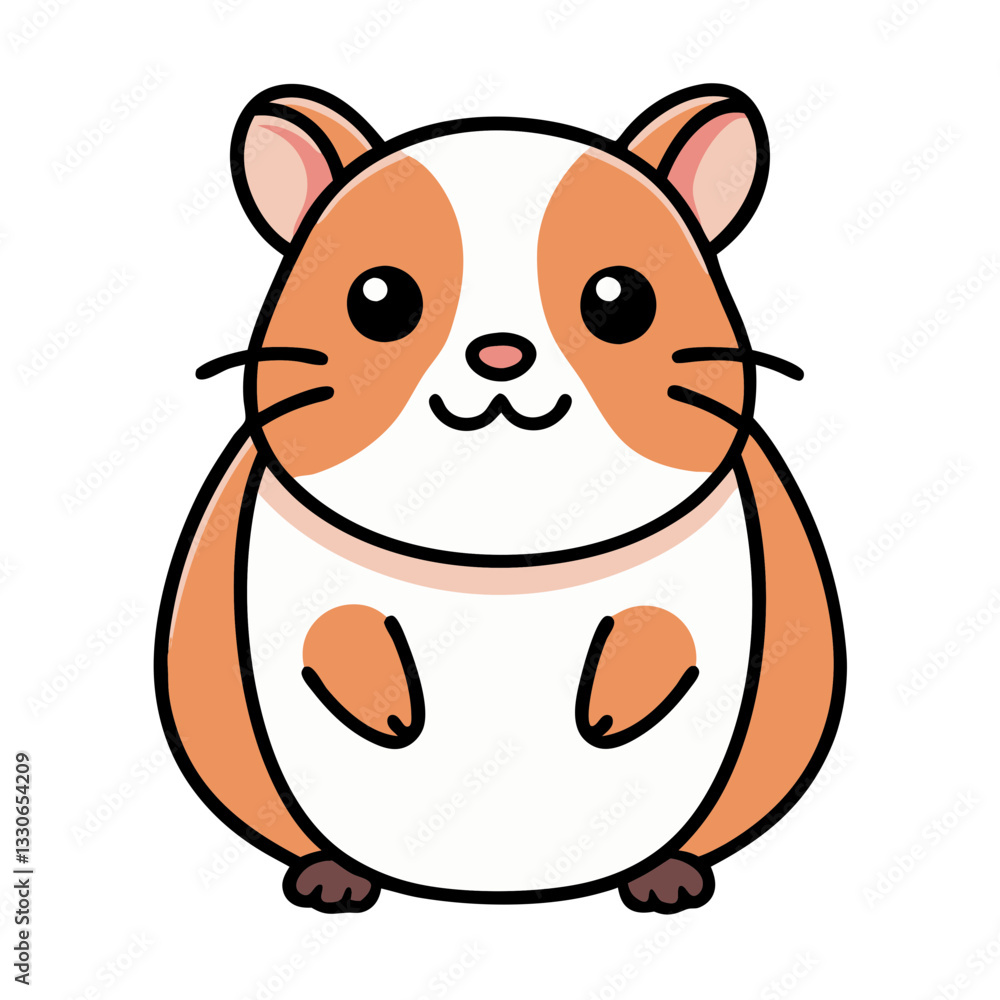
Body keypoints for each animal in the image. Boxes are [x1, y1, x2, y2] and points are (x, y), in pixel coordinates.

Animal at [155, 83, 845, 915]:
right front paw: (387, 705)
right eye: (377, 299)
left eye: (621, 298)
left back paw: (665, 877)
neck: (504, 547)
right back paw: (334, 877)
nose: (501, 352)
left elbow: (661, 631)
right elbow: (336, 628)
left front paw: (613, 705)